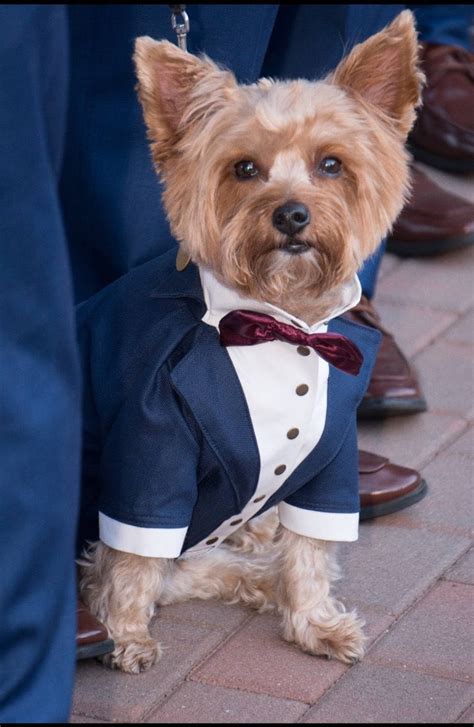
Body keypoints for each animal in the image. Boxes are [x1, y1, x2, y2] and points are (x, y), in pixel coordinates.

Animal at [77, 11, 422, 672]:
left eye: (332, 165)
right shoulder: (150, 445)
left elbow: (311, 548)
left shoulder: (332, 455)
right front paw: (126, 632)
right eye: (243, 169)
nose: (291, 215)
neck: (278, 322)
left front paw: (313, 620)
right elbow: (136, 556)